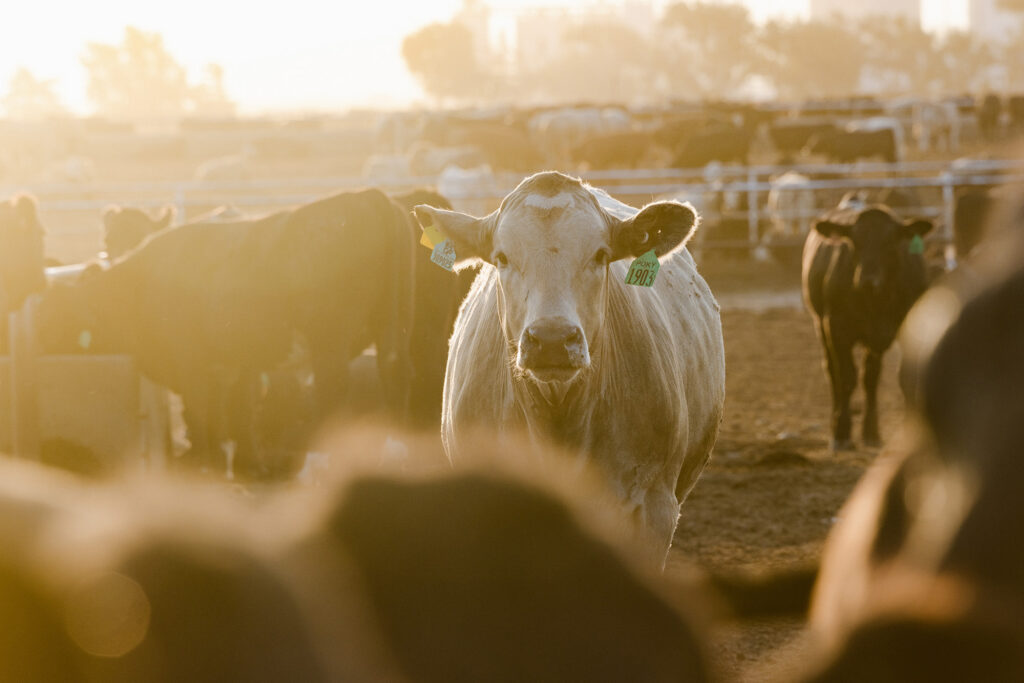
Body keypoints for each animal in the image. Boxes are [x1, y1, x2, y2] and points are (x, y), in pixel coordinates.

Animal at [36, 189, 416, 479]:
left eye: (59, 317)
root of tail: (365, 196)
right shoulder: (235, 365)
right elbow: (236, 415)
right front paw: (246, 466)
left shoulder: (193, 365)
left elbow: (203, 415)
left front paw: (205, 467)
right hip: (392, 343)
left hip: (329, 349)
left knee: (333, 400)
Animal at [802, 203, 933, 450]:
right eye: (854, 241)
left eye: (890, 241)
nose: (867, 280)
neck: (877, 299)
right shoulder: (836, 327)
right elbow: (846, 378)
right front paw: (842, 433)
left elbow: (904, 378)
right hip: (820, 324)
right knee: (833, 373)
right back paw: (837, 424)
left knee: (870, 377)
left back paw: (871, 432)